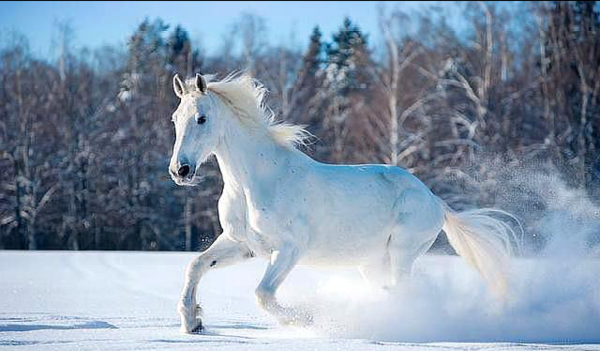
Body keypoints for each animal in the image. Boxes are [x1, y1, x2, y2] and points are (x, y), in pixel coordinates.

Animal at [170, 73, 520, 332]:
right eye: (175, 119)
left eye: (201, 118)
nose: (180, 170)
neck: (254, 182)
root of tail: (435, 200)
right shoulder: (242, 244)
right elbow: (195, 265)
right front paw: (194, 322)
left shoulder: (289, 249)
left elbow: (263, 295)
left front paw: (306, 319)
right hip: (372, 263)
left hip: (402, 252)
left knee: (402, 290)